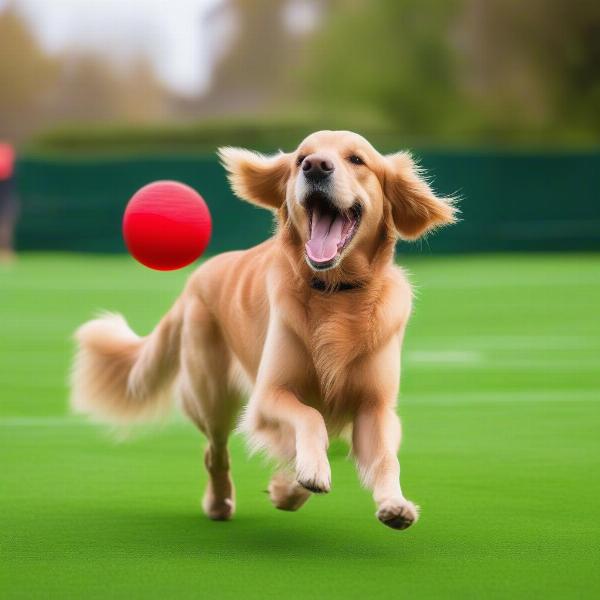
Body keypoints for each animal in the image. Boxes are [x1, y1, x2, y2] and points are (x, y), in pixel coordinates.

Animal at [71, 131, 454, 528]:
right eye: (301, 158)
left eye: (357, 159)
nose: (316, 166)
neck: (335, 293)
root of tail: (194, 280)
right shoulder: (269, 395)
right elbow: (309, 419)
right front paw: (303, 477)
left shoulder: (374, 407)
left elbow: (384, 459)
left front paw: (394, 503)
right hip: (211, 398)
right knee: (215, 453)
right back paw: (220, 502)